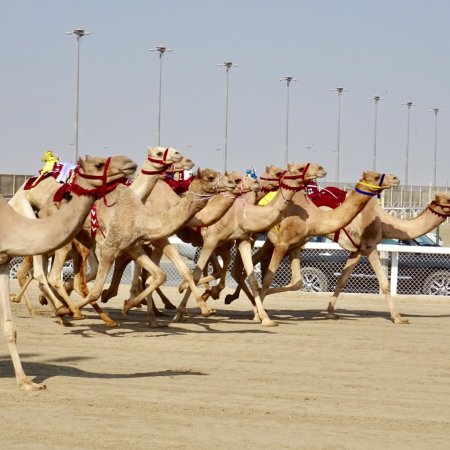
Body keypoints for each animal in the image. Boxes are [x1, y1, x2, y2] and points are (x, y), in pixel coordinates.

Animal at [173, 163, 326, 326]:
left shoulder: (240, 240)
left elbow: (250, 277)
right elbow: (199, 274)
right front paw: (183, 310)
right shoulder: (212, 239)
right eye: (299, 168)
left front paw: (265, 318)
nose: (321, 169)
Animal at [324, 193, 450, 324]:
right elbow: (385, 283)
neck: (382, 223)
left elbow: (342, 280)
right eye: (448, 200)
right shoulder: (370, 247)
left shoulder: (357, 250)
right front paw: (398, 318)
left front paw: (331, 313)